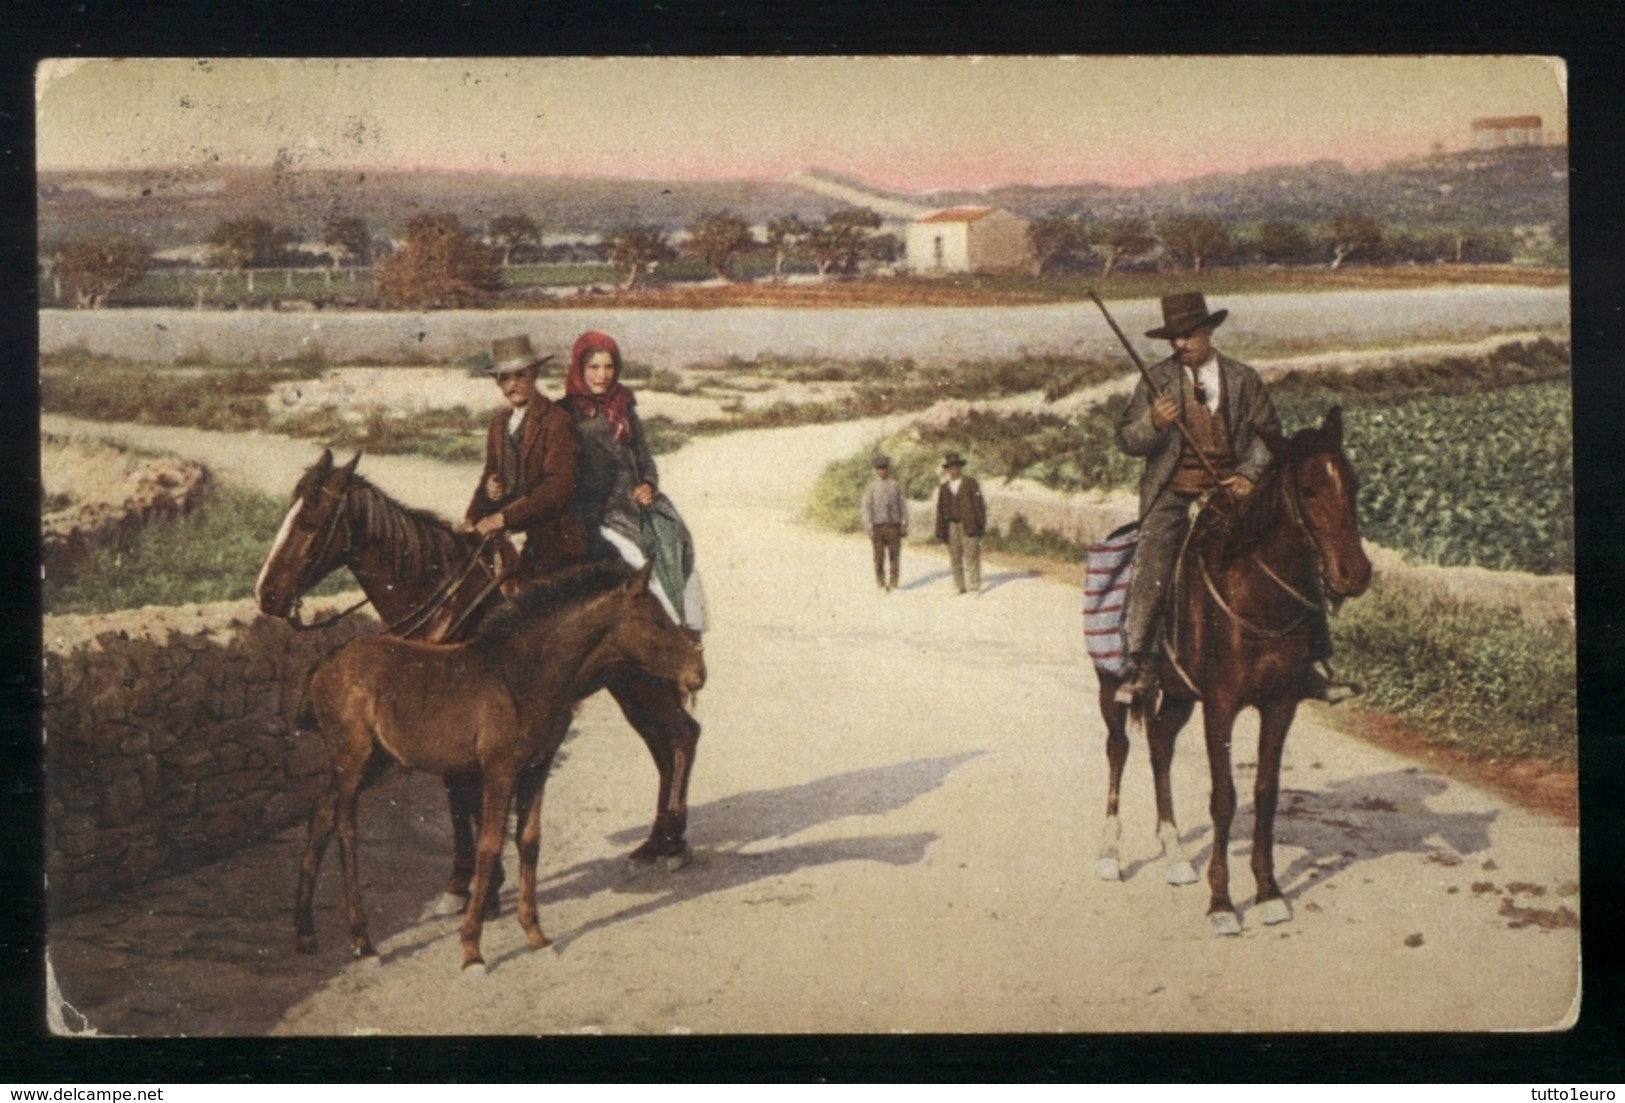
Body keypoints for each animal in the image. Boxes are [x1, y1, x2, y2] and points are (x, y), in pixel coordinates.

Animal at [256, 448, 702, 916]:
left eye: (308, 523)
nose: (267, 595)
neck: (447, 601)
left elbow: (468, 796)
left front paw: (482, 886)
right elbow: (456, 794)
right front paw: (462, 881)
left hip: (647, 681)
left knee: (683, 736)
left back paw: (674, 845)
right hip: (629, 689)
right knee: (662, 748)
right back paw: (653, 845)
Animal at [295, 562, 702, 968]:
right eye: (657, 621)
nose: (698, 673)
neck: (522, 677)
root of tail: (323, 663)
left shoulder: (536, 769)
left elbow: (529, 840)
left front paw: (535, 934)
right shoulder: (499, 770)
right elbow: (490, 845)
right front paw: (472, 948)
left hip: (376, 763)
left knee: (321, 813)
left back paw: (305, 934)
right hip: (352, 759)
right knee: (346, 828)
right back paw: (363, 942)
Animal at [1092, 409, 1371, 935]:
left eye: (1354, 482)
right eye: (1308, 489)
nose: (1355, 575)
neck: (1256, 594)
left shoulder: (1279, 704)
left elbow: (1265, 792)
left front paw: (1269, 893)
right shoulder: (1220, 707)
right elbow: (1223, 798)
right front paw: (1221, 903)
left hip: (1179, 695)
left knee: (1159, 742)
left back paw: (1176, 855)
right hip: (1111, 686)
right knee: (1118, 750)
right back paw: (1109, 855)